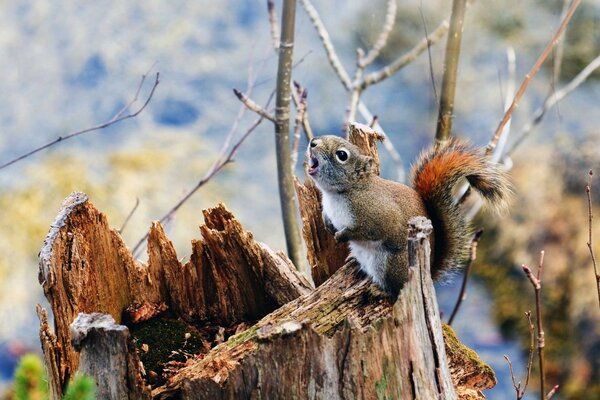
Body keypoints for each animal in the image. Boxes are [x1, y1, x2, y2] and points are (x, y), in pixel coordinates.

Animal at [304, 136, 510, 296]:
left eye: (342, 155)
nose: (313, 142)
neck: (339, 193)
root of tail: (429, 272)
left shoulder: (377, 215)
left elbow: (367, 230)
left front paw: (342, 235)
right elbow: (327, 216)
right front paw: (328, 224)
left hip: (392, 265)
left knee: (395, 290)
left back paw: (380, 291)